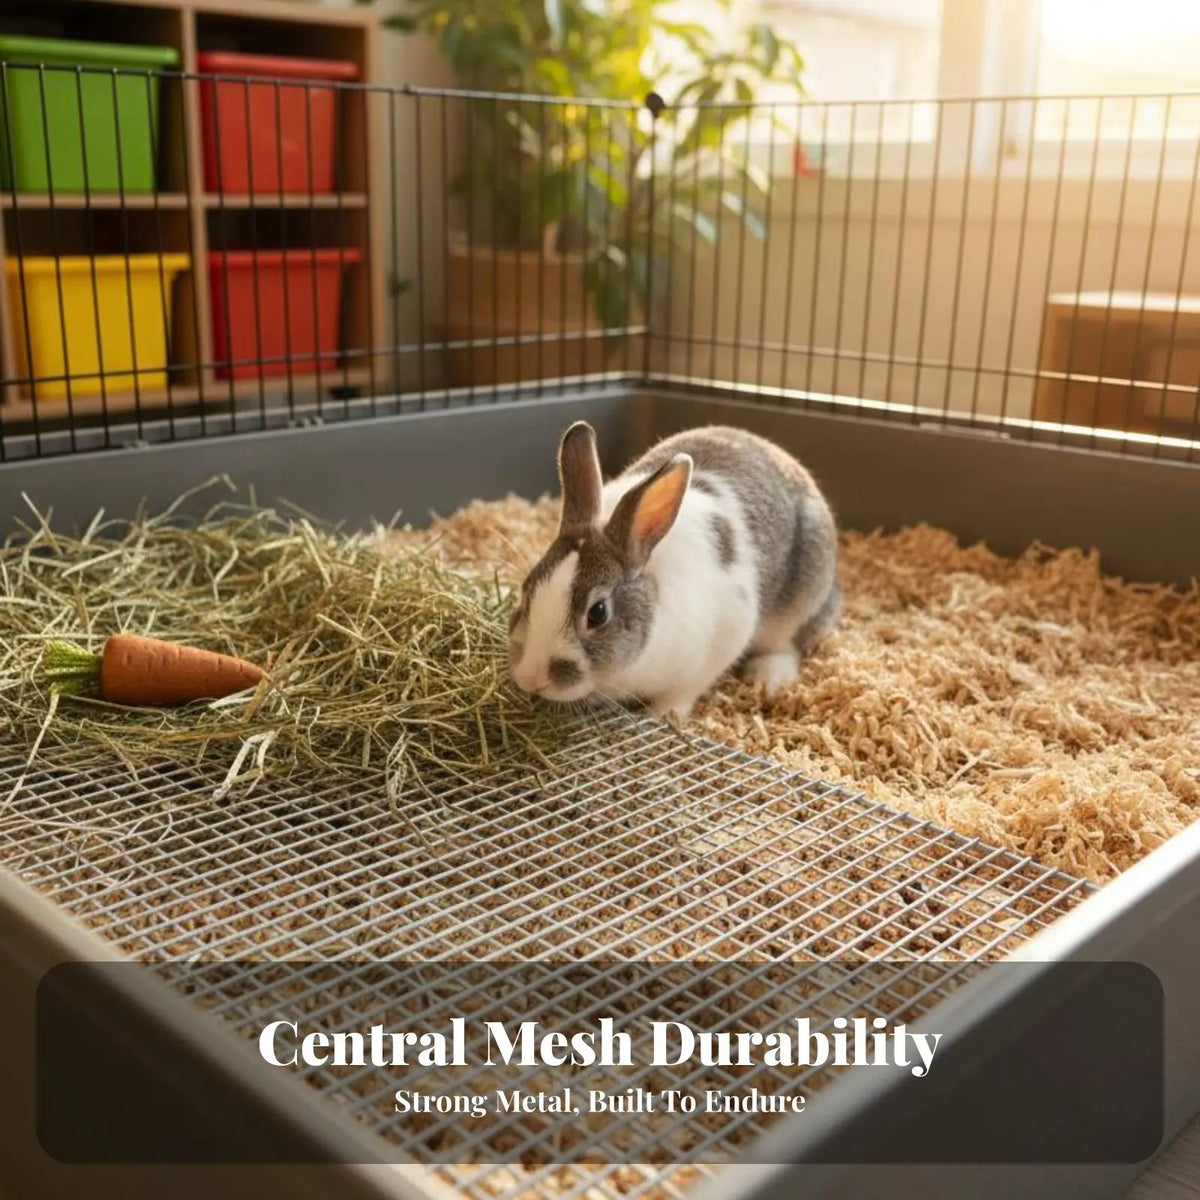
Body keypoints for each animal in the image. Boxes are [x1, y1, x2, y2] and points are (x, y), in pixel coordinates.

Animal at [508, 421, 840, 721]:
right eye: (526, 591)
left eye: (598, 613)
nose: (531, 678)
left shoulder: (721, 642)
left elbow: (683, 692)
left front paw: (662, 716)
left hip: (803, 599)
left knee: (787, 645)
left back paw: (768, 678)